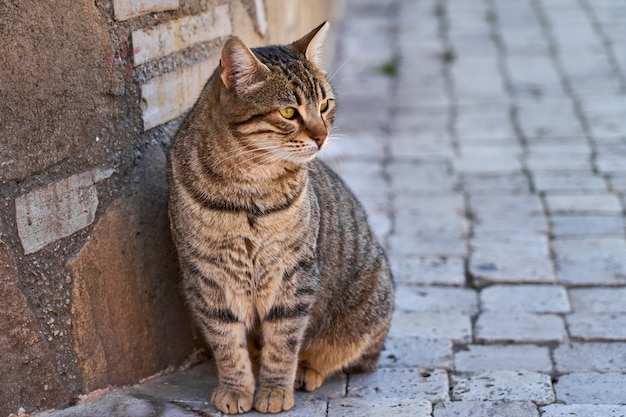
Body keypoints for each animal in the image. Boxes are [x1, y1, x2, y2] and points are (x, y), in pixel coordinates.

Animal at [166, 22, 390, 412]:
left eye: (325, 105)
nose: (322, 136)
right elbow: (228, 344)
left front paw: (273, 390)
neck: (249, 192)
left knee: (346, 356)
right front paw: (237, 388)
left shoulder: (294, 274)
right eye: (288, 113)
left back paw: (307, 371)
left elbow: (283, 342)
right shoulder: (208, 278)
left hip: (367, 308)